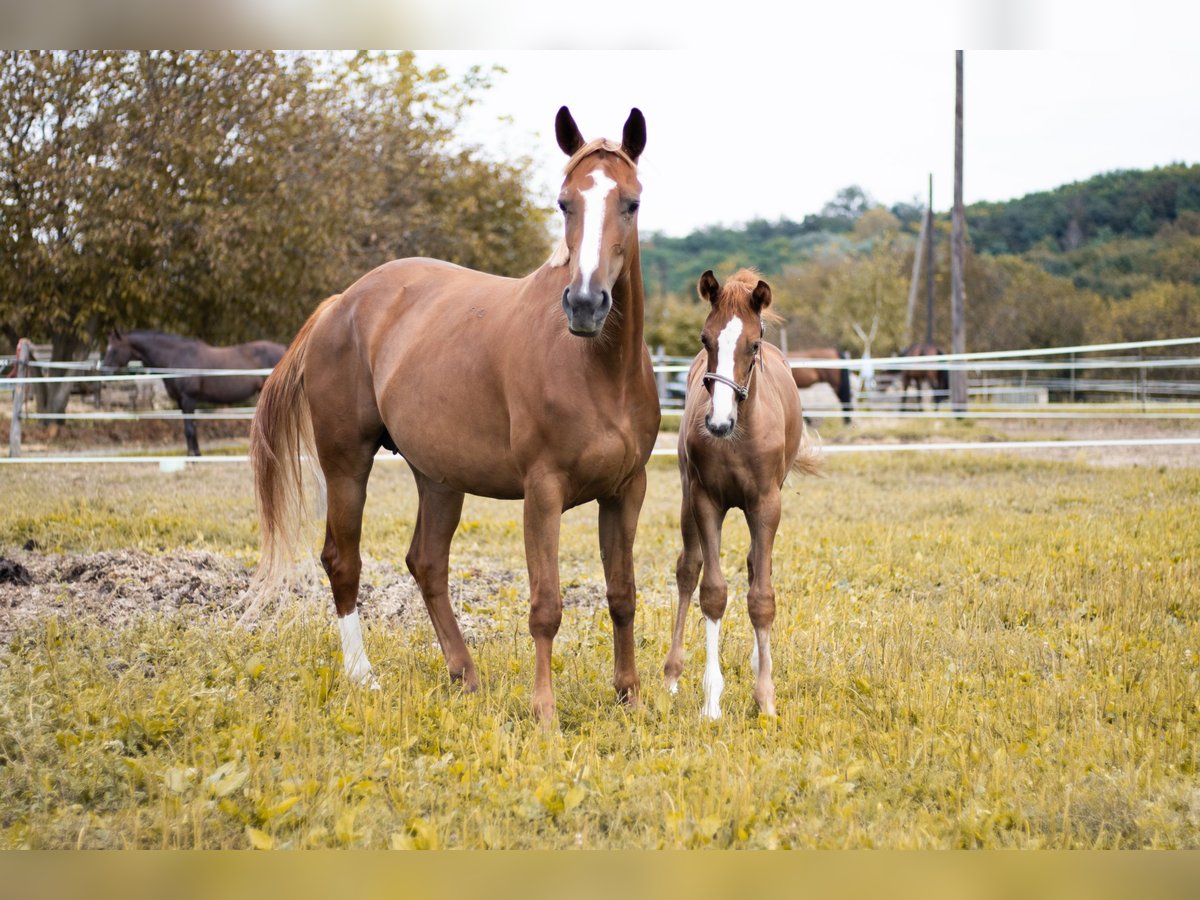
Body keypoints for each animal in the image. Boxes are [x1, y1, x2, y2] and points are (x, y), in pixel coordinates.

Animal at [100, 328, 283, 458]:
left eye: (114, 350)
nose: (104, 372)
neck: (176, 357)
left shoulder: (189, 398)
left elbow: (189, 428)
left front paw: (191, 457)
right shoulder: (181, 401)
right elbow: (190, 427)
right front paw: (197, 454)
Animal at [249, 105, 662, 724]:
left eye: (630, 203)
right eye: (564, 202)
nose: (585, 304)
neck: (597, 370)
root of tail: (342, 303)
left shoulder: (626, 490)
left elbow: (622, 594)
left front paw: (630, 697)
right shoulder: (543, 492)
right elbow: (546, 604)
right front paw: (545, 712)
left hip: (439, 478)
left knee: (427, 563)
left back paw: (464, 673)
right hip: (347, 463)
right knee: (342, 560)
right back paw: (363, 676)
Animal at [662, 271, 820, 724]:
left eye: (752, 344)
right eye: (705, 339)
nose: (717, 422)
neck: (737, 436)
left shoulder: (766, 505)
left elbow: (762, 596)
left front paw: (765, 697)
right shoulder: (705, 502)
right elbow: (712, 592)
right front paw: (712, 701)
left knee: (753, 567)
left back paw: (757, 662)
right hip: (687, 500)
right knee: (688, 569)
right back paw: (672, 675)